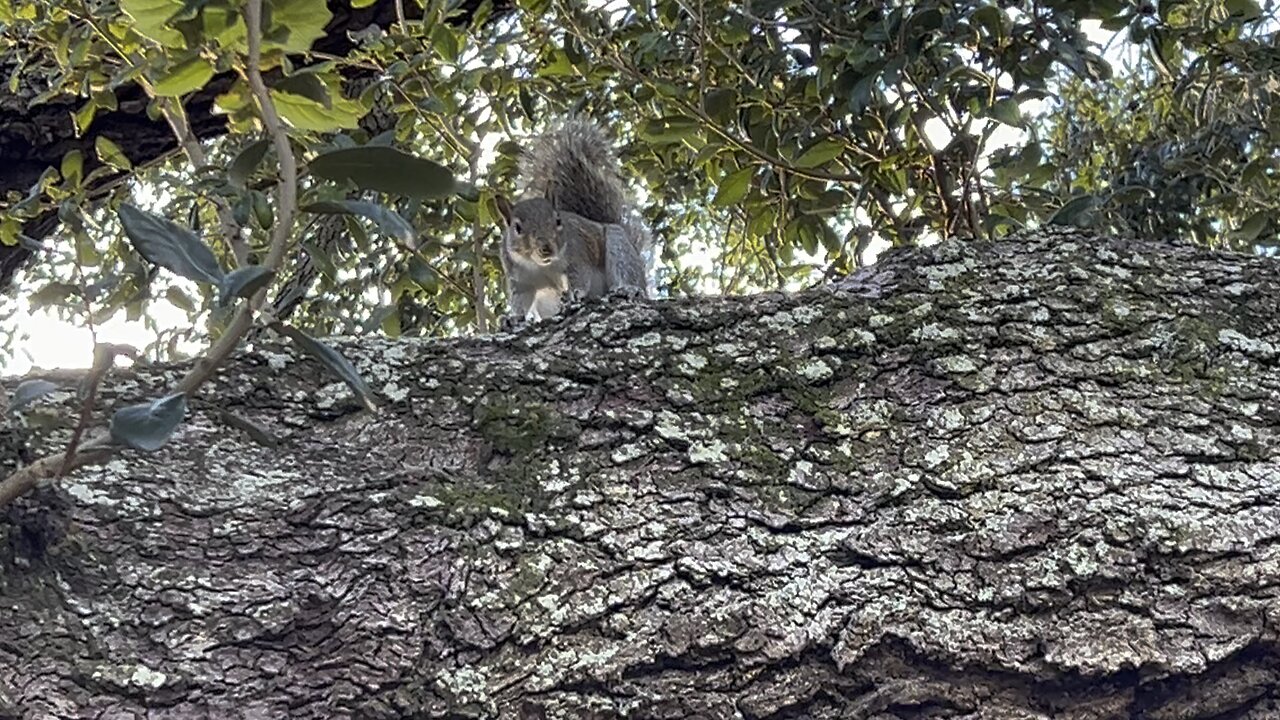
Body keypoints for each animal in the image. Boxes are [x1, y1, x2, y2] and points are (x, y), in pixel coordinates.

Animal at [488, 115, 650, 325]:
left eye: (558, 220)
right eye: (517, 228)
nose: (547, 248)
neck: (541, 265)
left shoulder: (577, 253)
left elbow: (580, 275)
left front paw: (574, 293)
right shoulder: (520, 279)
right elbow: (521, 300)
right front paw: (513, 318)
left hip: (619, 246)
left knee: (626, 269)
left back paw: (629, 289)